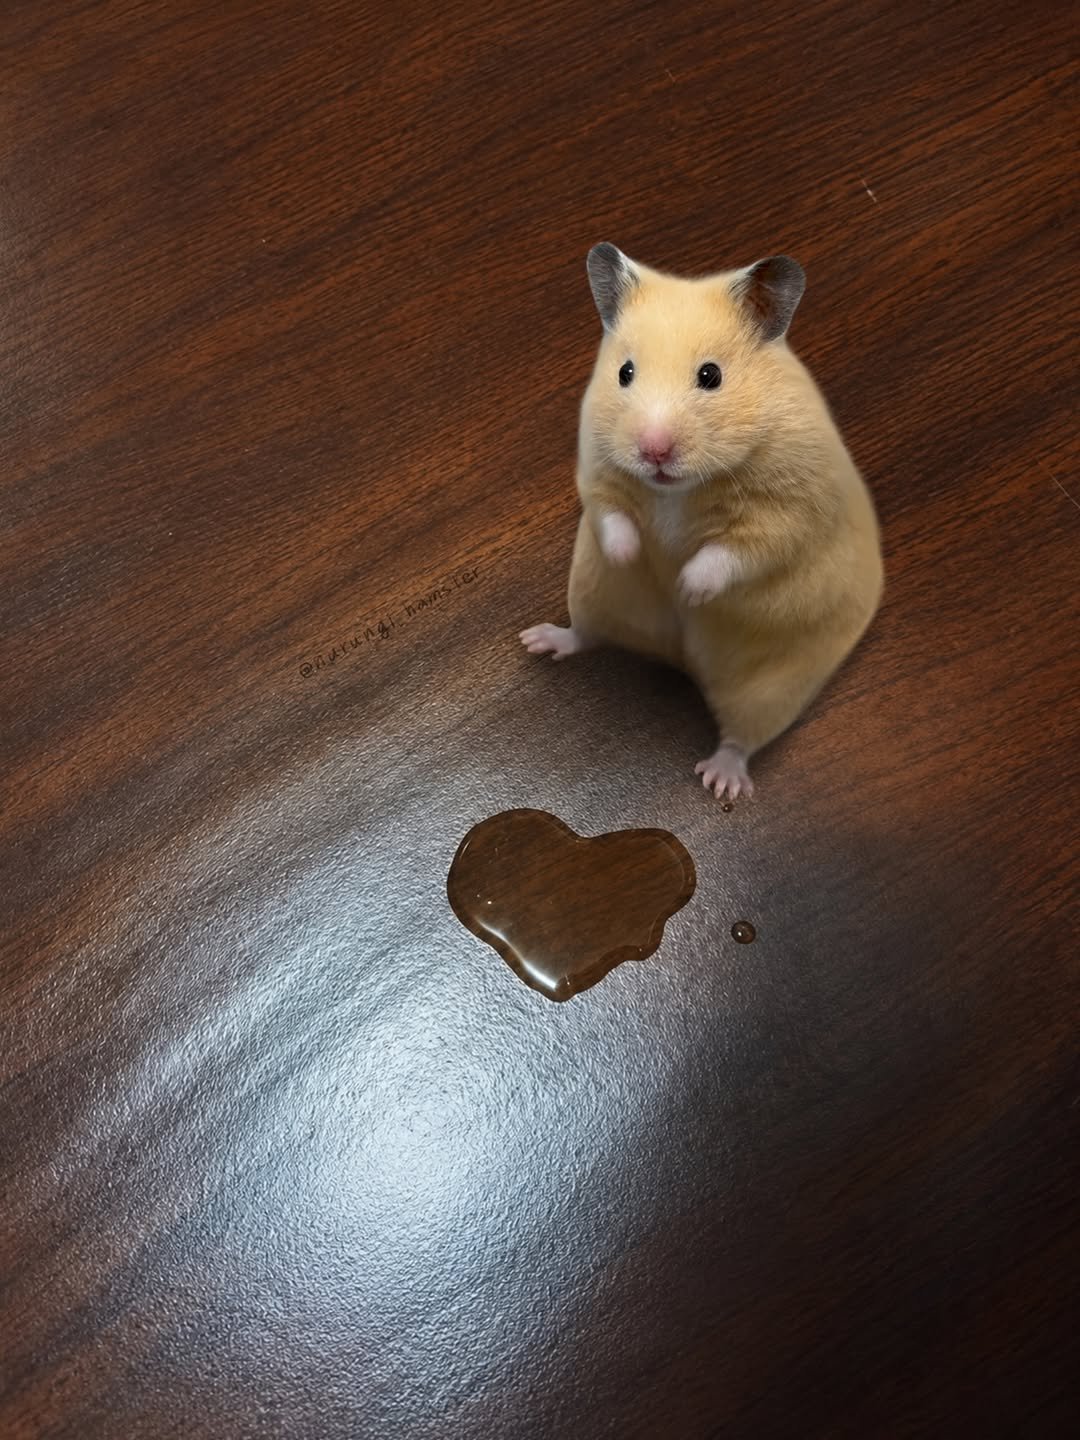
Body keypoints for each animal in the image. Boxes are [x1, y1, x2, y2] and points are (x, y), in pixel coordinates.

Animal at [520, 243, 883, 801]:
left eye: (710, 376)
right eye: (625, 373)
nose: (653, 451)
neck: (676, 490)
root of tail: (679, 657)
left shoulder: (784, 514)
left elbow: (728, 555)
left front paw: (687, 590)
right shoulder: (597, 472)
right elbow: (613, 517)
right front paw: (631, 556)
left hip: (771, 690)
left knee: (741, 738)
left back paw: (721, 782)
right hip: (591, 594)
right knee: (586, 635)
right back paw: (538, 641)